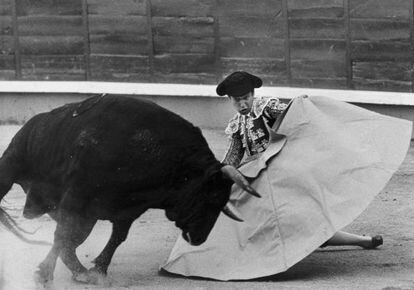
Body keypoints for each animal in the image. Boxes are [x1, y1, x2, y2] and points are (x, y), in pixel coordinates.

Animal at [0, 95, 258, 284]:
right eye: (210, 196)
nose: (199, 239)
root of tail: (31, 125)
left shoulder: (128, 208)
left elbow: (114, 238)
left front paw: (98, 270)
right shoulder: (76, 199)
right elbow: (64, 236)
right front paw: (46, 274)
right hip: (9, 170)